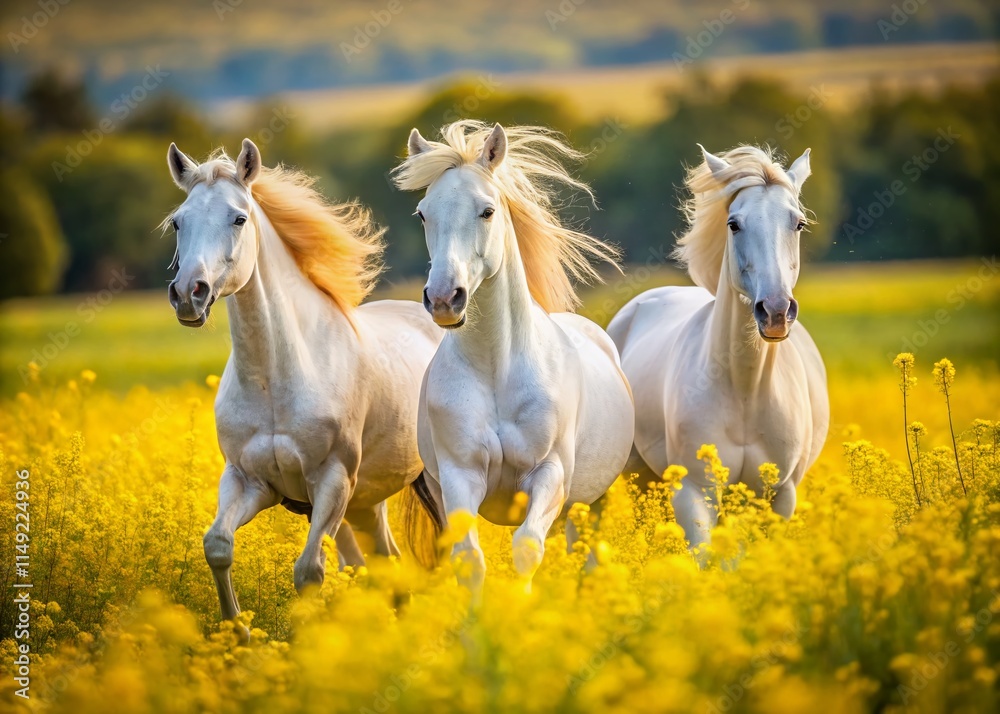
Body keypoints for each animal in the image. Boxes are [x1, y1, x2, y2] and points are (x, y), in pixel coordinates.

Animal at [164, 138, 442, 637]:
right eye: (179, 220)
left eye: (238, 218)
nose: (189, 294)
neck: (277, 377)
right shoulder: (248, 481)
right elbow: (217, 546)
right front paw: (240, 636)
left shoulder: (332, 481)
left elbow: (309, 572)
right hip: (365, 504)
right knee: (384, 566)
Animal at [393, 121, 635, 595]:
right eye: (423, 214)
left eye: (487, 211)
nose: (445, 299)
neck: (496, 370)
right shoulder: (460, 477)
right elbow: (469, 558)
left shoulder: (549, 474)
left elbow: (527, 548)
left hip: (591, 500)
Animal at [606, 144, 829, 557]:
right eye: (734, 224)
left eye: (799, 224)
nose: (776, 311)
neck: (745, 388)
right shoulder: (694, 492)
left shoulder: (780, 496)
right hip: (639, 477)